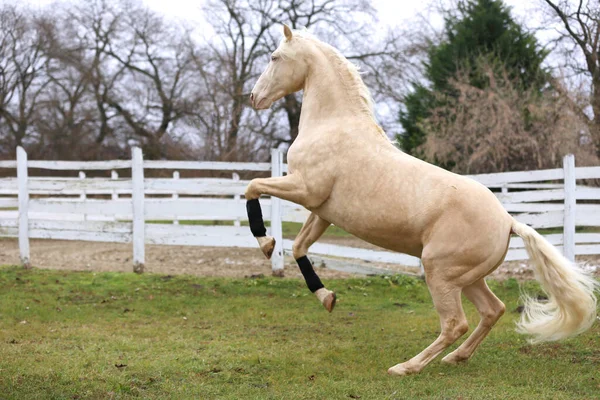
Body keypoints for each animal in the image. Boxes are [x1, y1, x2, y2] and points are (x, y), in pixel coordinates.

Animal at [243, 24, 596, 376]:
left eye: (275, 57)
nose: (254, 98)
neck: (332, 126)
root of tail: (508, 221)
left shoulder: (305, 189)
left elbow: (252, 187)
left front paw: (265, 243)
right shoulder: (323, 211)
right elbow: (299, 246)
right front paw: (327, 297)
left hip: (439, 272)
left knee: (456, 323)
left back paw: (407, 367)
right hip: (467, 278)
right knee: (493, 310)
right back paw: (456, 358)